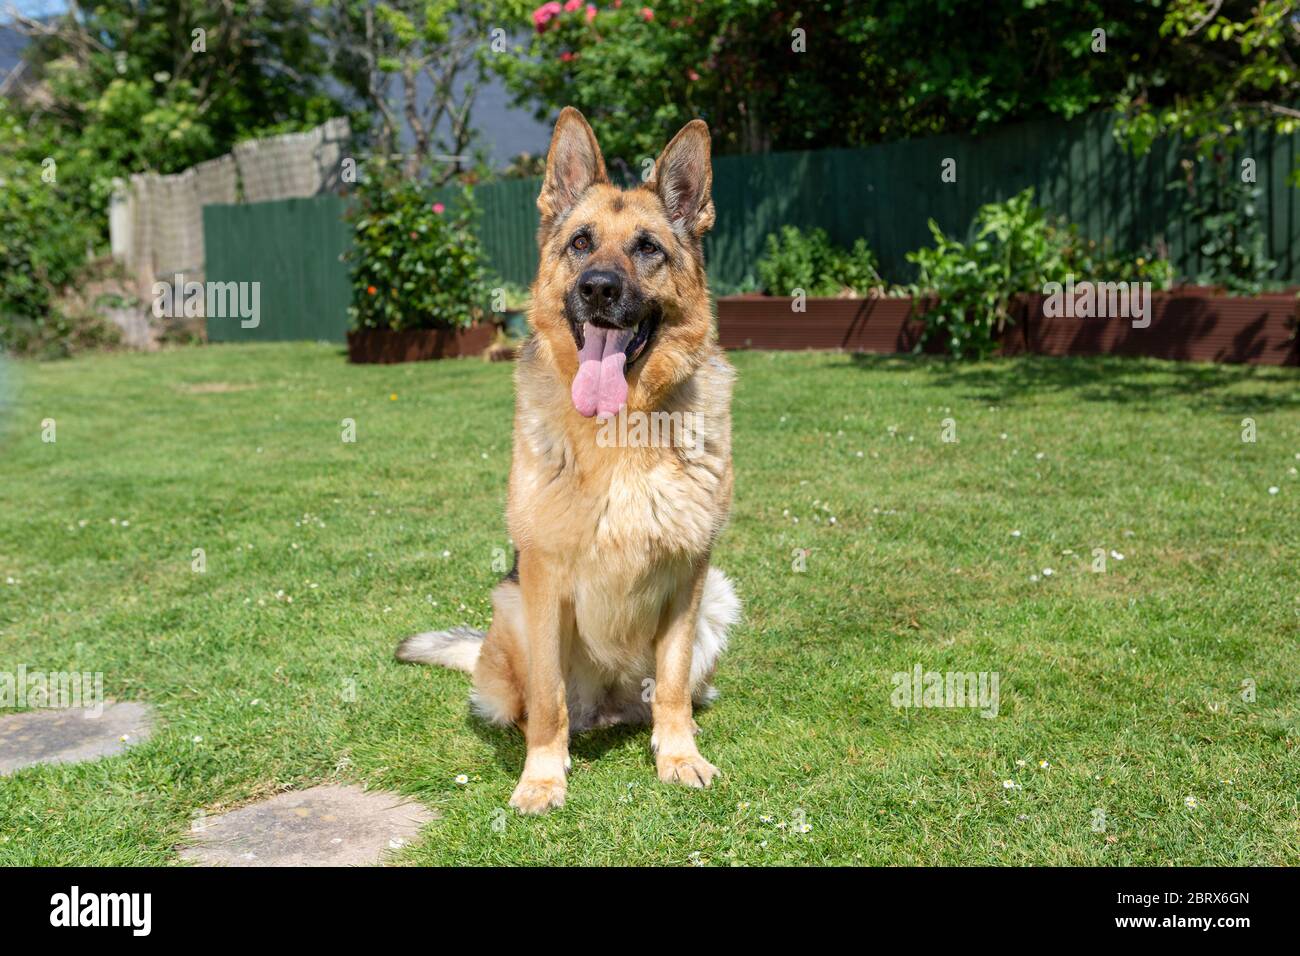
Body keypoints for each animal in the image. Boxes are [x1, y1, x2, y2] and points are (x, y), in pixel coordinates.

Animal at [395, 108, 738, 811]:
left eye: (647, 248)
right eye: (581, 243)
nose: (599, 288)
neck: (620, 432)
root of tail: (608, 708)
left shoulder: (691, 573)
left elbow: (671, 684)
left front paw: (680, 757)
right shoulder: (544, 579)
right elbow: (548, 702)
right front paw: (542, 777)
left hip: (719, 596)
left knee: (672, 693)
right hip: (512, 609)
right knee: (532, 704)